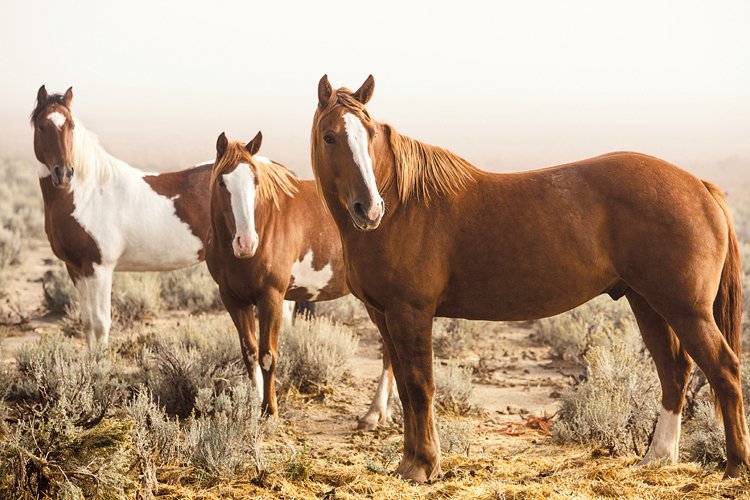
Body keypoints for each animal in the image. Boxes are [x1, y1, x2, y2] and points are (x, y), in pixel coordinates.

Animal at [31, 86, 212, 348]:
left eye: (71, 126)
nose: (63, 173)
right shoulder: (75, 268)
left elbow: (101, 323)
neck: (87, 194)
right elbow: (87, 322)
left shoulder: (100, 268)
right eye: (42, 126)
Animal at [206, 131, 394, 420]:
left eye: (256, 181)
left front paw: (269, 411)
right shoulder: (233, 299)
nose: (246, 243)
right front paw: (255, 402)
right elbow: (250, 353)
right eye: (222, 182)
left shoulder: (271, 297)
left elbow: (267, 355)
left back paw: (374, 413)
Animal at [310, 74, 748, 480]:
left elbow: (420, 386)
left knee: (723, 369)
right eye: (330, 137)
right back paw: (657, 458)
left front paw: (423, 466)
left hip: (685, 309)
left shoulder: (411, 313)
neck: (405, 204)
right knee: (675, 371)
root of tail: (699, 186)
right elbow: (404, 385)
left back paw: (735, 466)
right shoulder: (383, 315)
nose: (369, 209)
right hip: (648, 303)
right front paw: (410, 463)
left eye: (369, 136)